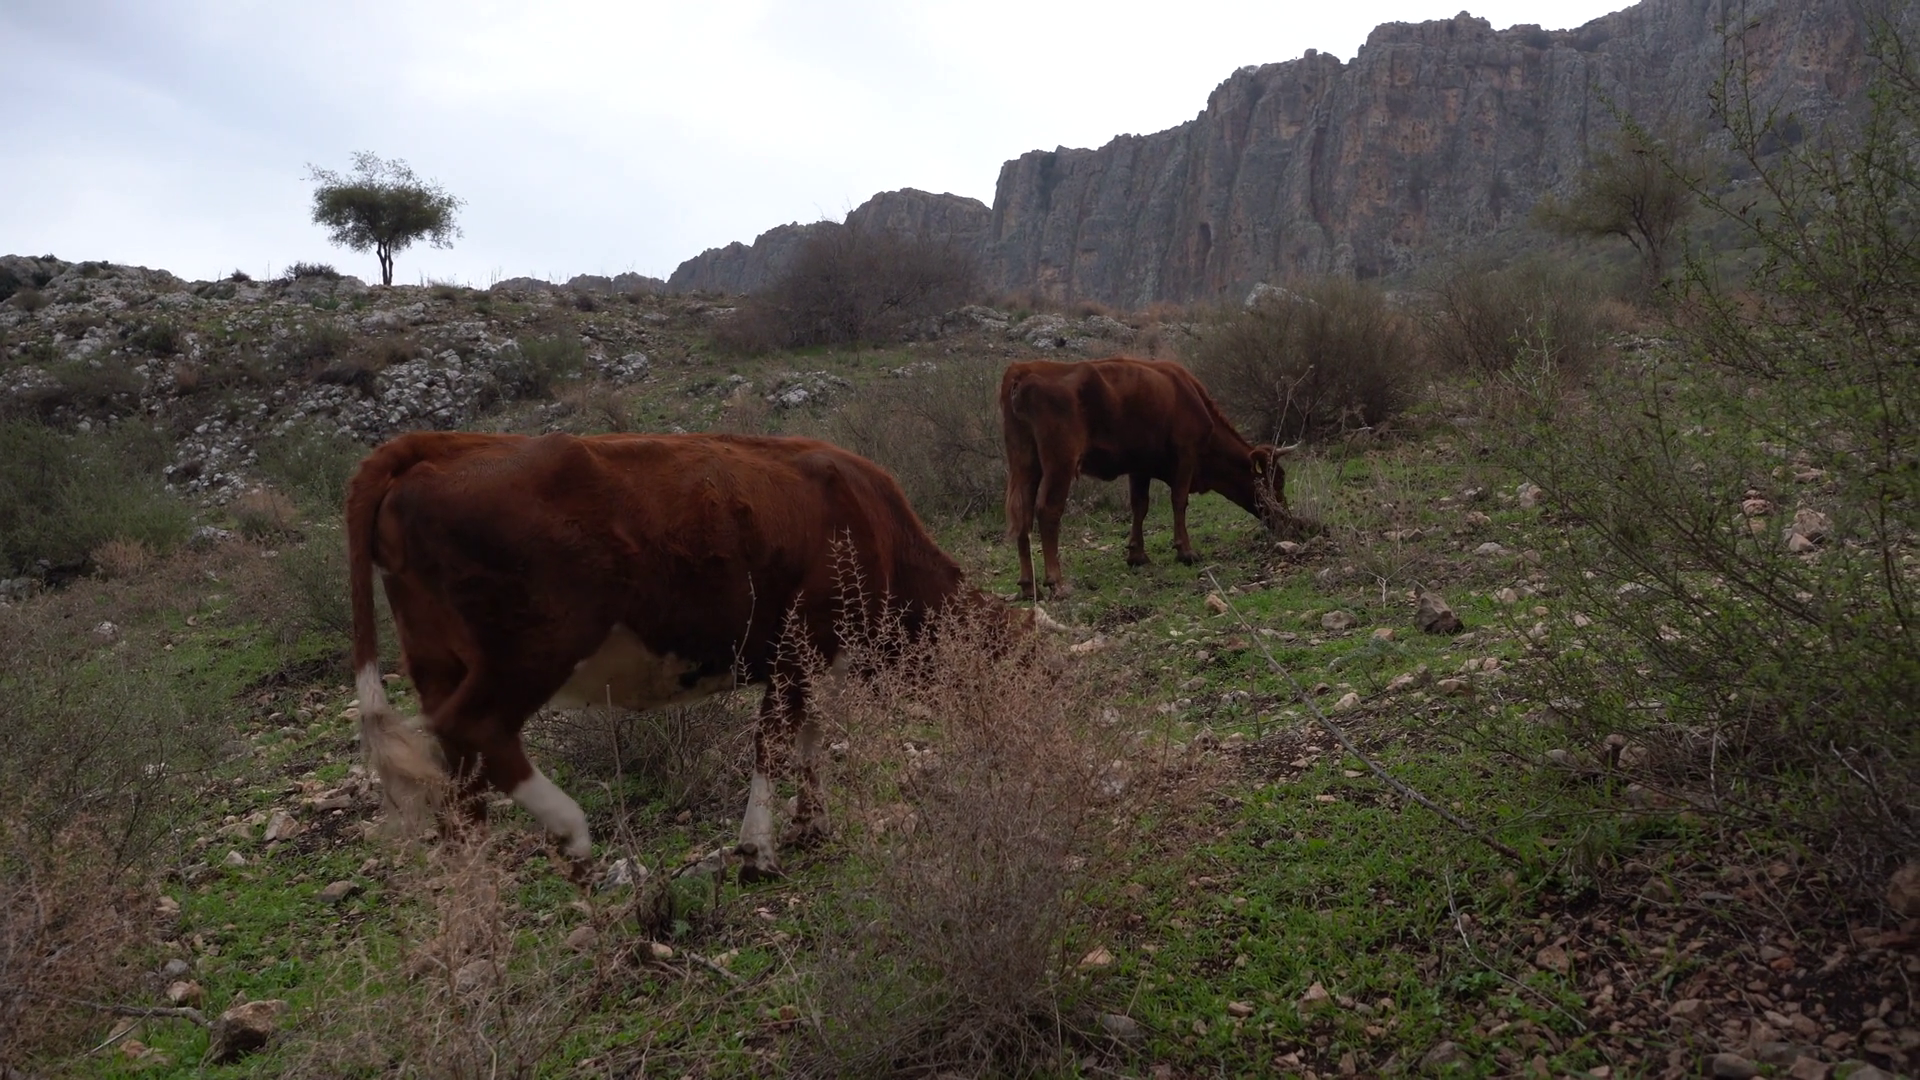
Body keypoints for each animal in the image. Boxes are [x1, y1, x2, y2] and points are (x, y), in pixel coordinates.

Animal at [346, 430, 993, 882]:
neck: (871, 524)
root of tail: (442, 443)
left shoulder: (816, 662)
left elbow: (809, 739)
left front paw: (813, 824)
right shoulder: (796, 651)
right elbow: (772, 742)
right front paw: (759, 848)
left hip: (437, 657)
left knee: (458, 770)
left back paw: (477, 884)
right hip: (535, 646)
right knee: (476, 727)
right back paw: (570, 832)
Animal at [1001, 357, 1292, 599]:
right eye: (1276, 480)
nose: (1287, 520)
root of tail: (1024, 369)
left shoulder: (1139, 467)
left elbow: (1139, 506)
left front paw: (1137, 555)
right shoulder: (1186, 454)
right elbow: (1179, 501)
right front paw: (1186, 551)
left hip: (1024, 465)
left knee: (1022, 515)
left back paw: (1028, 586)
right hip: (1060, 463)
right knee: (1048, 511)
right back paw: (1056, 582)